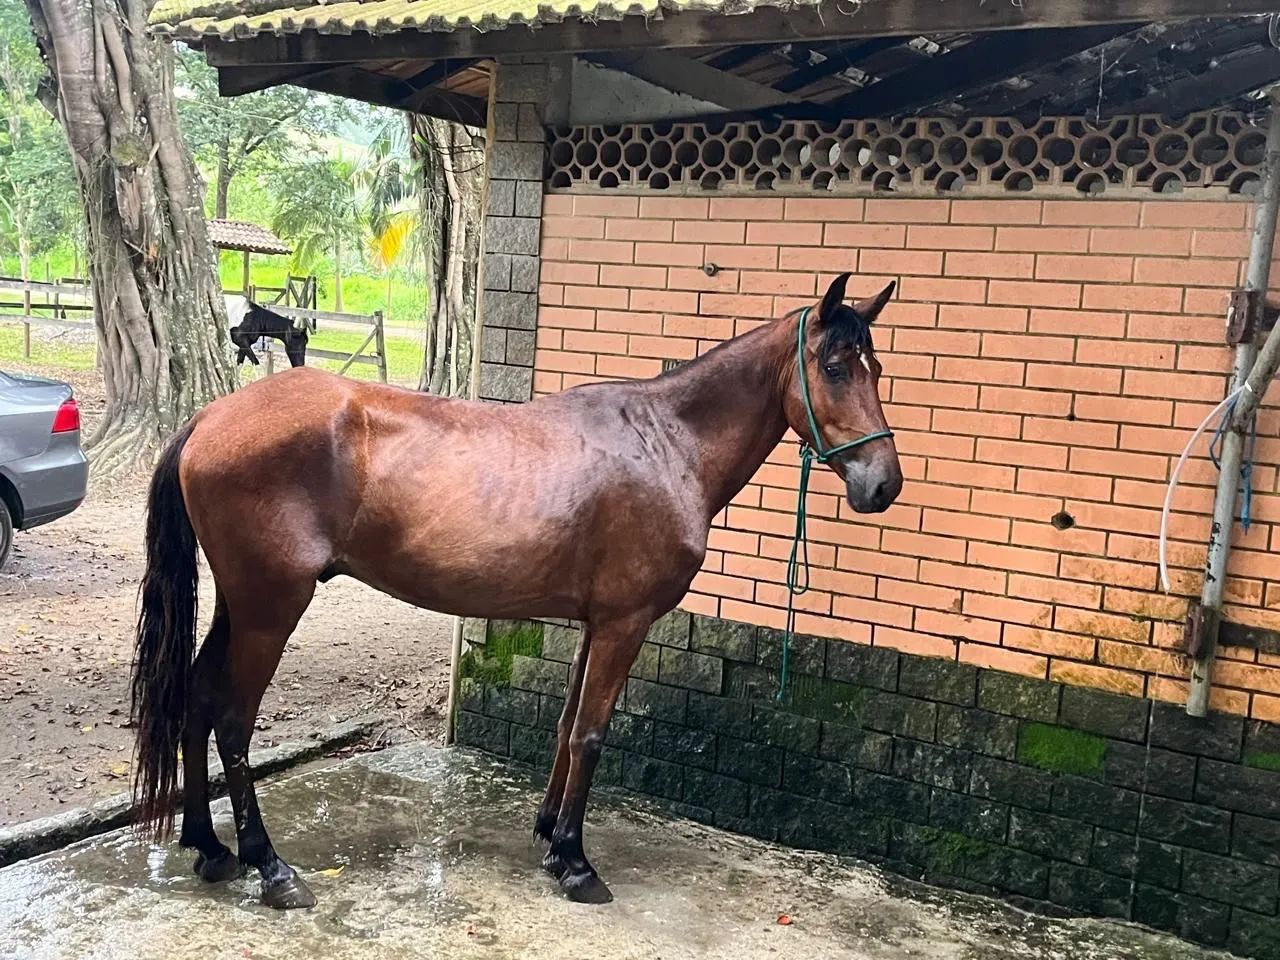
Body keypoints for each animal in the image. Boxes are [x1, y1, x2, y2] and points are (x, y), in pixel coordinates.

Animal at [131, 273, 904, 910]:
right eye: (836, 367)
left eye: (878, 368)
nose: (883, 485)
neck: (666, 444)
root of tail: (209, 417)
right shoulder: (625, 623)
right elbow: (592, 733)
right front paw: (576, 864)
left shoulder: (596, 623)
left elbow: (566, 724)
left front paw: (550, 833)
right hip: (271, 610)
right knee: (233, 720)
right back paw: (271, 868)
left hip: (240, 606)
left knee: (197, 697)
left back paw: (209, 848)